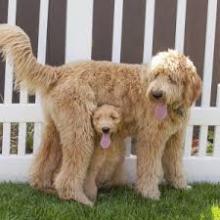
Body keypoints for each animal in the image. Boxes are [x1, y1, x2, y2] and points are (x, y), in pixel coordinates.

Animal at [0, 25, 201, 206]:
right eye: (155, 75)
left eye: (172, 78)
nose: (156, 94)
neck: (172, 106)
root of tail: (59, 71)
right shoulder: (150, 138)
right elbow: (149, 168)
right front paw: (150, 194)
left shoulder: (174, 139)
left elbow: (175, 165)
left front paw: (181, 186)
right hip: (80, 131)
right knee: (69, 173)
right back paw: (79, 198)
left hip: (55, 130)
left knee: (43, 163)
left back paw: (45, 188)